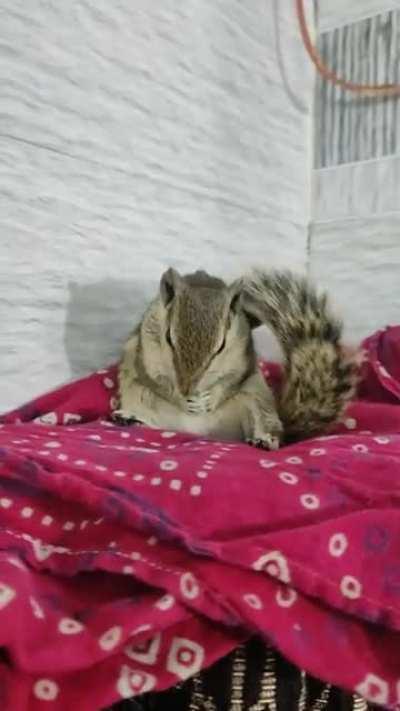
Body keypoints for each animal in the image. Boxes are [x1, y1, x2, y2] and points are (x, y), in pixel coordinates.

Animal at [113, 268, 359, 449]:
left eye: (221, 346)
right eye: (168, 337)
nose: (187, 389)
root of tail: (202, 434)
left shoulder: (242, 359)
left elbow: (229, 383)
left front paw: (209, 399)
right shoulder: (144, 353)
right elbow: (157, 381)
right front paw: (180, 398)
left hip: (258, 401)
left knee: (268, 428)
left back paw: (264, 440)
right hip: (139, 395)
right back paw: (130, 418)